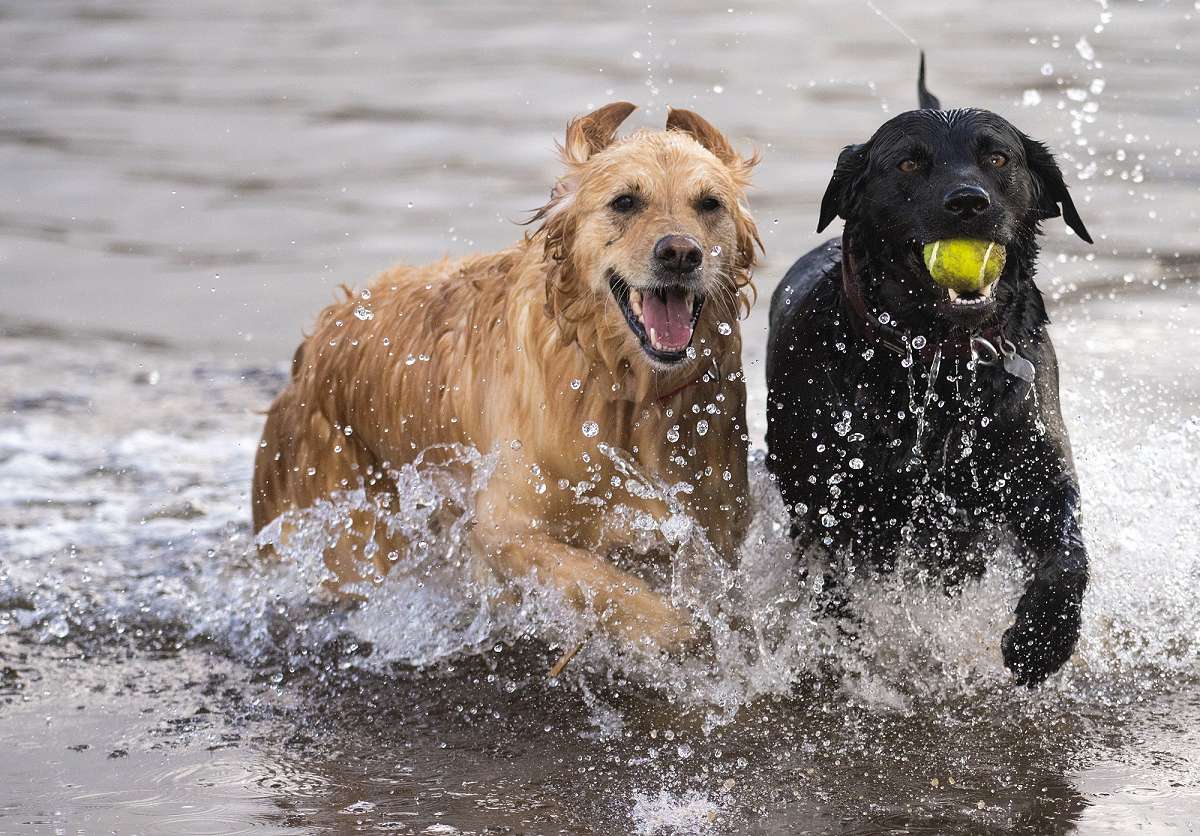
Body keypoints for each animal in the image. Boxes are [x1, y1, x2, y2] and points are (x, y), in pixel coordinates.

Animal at [252, 102, 758, 652]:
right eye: (625, 201)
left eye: (709, 204)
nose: (681, 253)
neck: (625, 387)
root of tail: (311, 349)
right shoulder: (505, 521)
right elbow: (598, 581)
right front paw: (673, 628)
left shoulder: (714, 519)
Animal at [768, 60, 1099, 686]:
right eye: (908, 163)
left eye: (998, 158)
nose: (968, 202)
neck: (937, 359)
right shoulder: (831, 507)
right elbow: (836, 589)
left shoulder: (1038, 469)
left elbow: (1069, 557)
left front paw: (1041, 640)